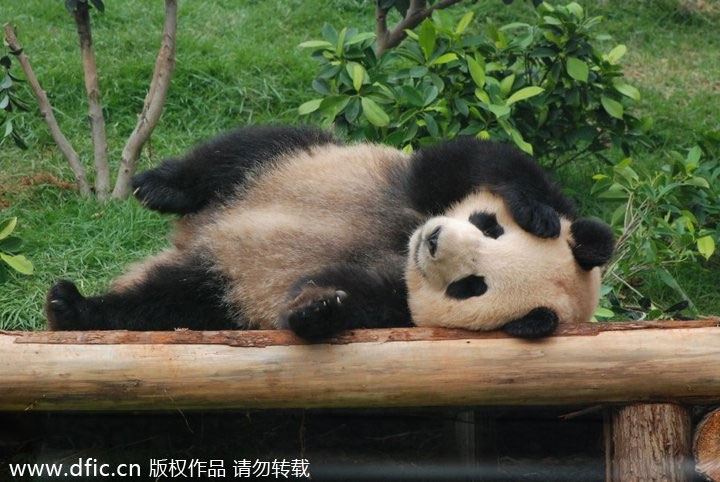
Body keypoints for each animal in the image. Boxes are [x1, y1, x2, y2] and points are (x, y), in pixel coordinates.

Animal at [45, 125, 614, 340]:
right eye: (488, 225)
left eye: (471, 287)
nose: (431, 242)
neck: (399, 244)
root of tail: (192, 236)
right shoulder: (425, 188)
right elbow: (479, 159)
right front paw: (536, 212)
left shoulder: (398, 307)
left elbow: (349, 299)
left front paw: (317, 308)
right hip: (293, 160)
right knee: (244, 151)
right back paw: (159, 187)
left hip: (217, 288)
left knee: (167, 302)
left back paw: (73, 308)